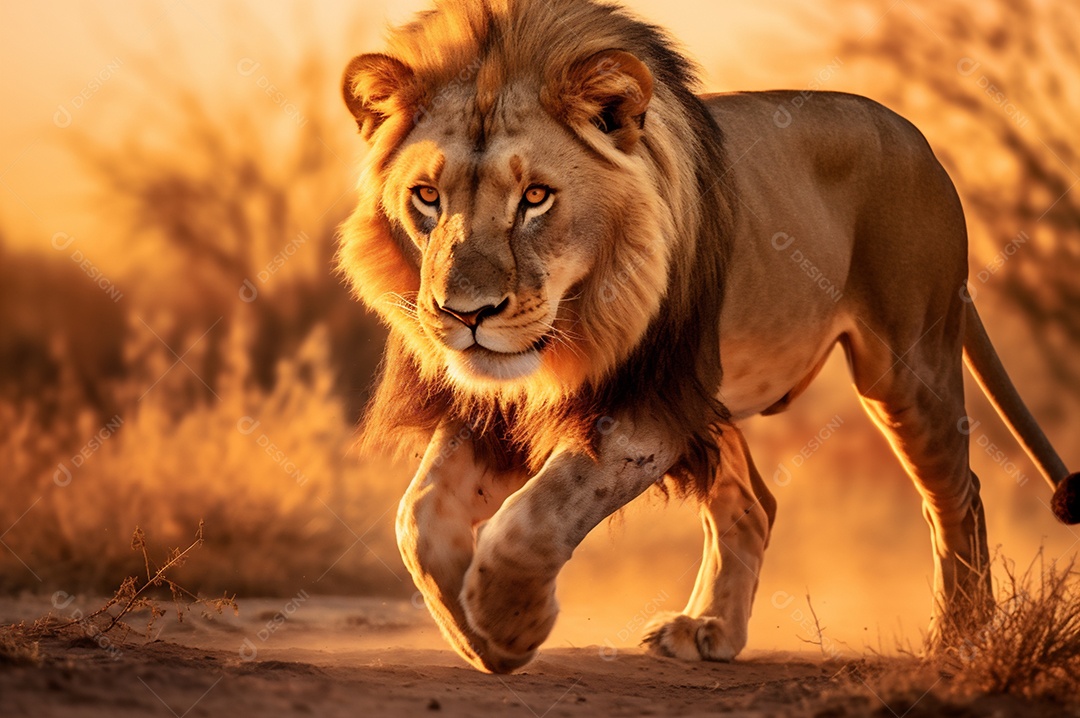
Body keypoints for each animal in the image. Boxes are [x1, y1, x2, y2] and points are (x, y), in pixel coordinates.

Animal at [337, 0, 1079, 674]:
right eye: (427, 197)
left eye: (536, 198)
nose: (466, 314)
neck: (573, 329)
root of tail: (919, 139)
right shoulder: (501, 406)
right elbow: (418, 516)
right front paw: (472, 627)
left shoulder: (645, 409)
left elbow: (538, 513)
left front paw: (506, 624)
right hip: (714, 392)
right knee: (753, 503)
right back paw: (708, 630)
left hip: (904, 362)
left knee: (958, 493)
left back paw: (959, 642)